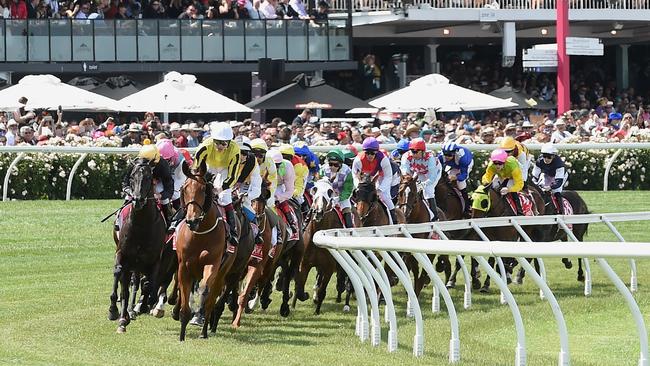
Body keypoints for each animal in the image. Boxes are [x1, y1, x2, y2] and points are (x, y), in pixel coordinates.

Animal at [107, 159, 166, 334]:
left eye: (148, 177)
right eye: (132, 177)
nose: (138, 200)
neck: (141, 226)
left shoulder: (154, 260)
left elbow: (148, 285)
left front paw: (142, 307)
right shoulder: (123, 255)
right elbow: (120, 278)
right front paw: (119, 315)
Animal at [172, 162, 235, 342]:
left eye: (203, 189)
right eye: (184, 189)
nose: (192, 220)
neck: (199, 234)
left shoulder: (212, 265)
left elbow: (205, 290)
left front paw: (200, 321)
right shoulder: (184, 267)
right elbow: (183, 292)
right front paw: (182, 334)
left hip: (222, 272)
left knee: (212, 296)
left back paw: (205, 329)